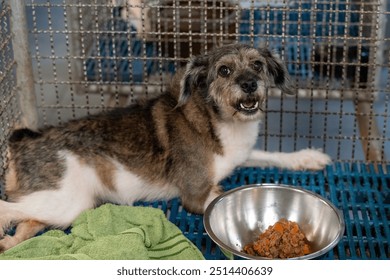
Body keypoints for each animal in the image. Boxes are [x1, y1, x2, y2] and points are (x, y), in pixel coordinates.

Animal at [0, 43, 330, 252]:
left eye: (258, 65)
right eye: (224, 70)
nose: (249, 84)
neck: (217, 120)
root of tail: (24, 140)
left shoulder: (241, 154)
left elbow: (269, 154)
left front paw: (306, 157)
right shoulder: (195, 196)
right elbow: (218, 195)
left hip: (56, 205)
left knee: (25, 222)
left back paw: (10, 242)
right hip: (69, 201)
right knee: (9, 208)